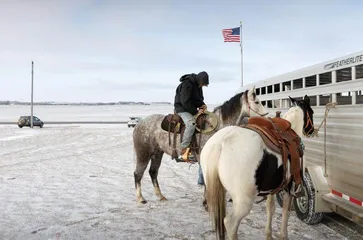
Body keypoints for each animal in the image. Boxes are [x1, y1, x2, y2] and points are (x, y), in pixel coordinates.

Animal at [132, 85, 268, 203]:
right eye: (257, 102)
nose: (266, 116)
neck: (216, 128)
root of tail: (139, 124)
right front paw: (207, 202)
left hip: (157, 153)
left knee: (153, 172)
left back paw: (160, 196)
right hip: (143, 153)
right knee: (138, 173)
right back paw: (140, 198)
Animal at [202, 95, 316, 240]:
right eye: (311, 112)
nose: (311, 131)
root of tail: (221, 142)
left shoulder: (273, 188)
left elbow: (270, 208)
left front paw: (268, 235)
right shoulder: (288, 188)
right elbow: (286, 212)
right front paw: (283, 236)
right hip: (243, 201)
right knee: (230, 223)